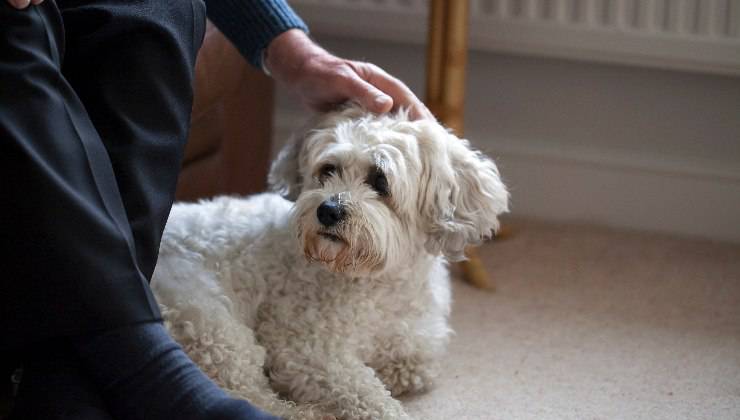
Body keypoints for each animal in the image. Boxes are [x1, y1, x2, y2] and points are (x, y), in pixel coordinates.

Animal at [150, 105, 508, 420]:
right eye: (328, 170)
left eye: (380, 181)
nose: (328, 210)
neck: (378, 279)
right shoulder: (307, 349)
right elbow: (366, 393)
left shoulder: (417, 346)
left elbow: (418, 368)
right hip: (210, 322)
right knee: (246, 394)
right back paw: (307, 412)